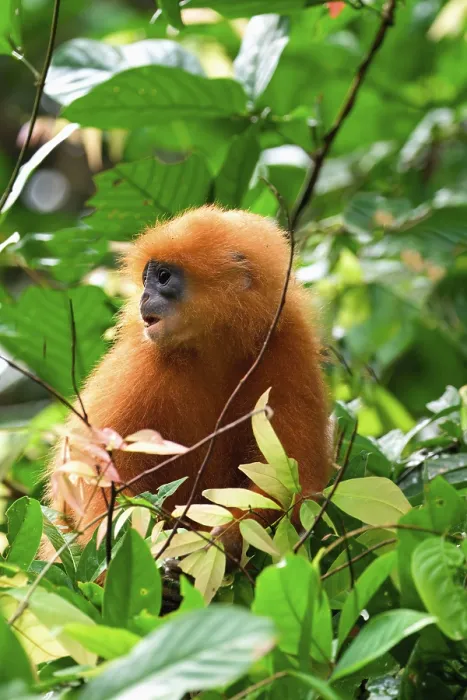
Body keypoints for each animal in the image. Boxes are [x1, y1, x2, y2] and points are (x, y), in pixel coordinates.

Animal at [43, 205, 330, 563]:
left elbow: (294, 479)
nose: (144, 296)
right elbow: (97, 476)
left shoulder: (287, 343)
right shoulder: (139, 364)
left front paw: (227, 537)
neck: (214, 348)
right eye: (146, 279)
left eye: (164, 277)